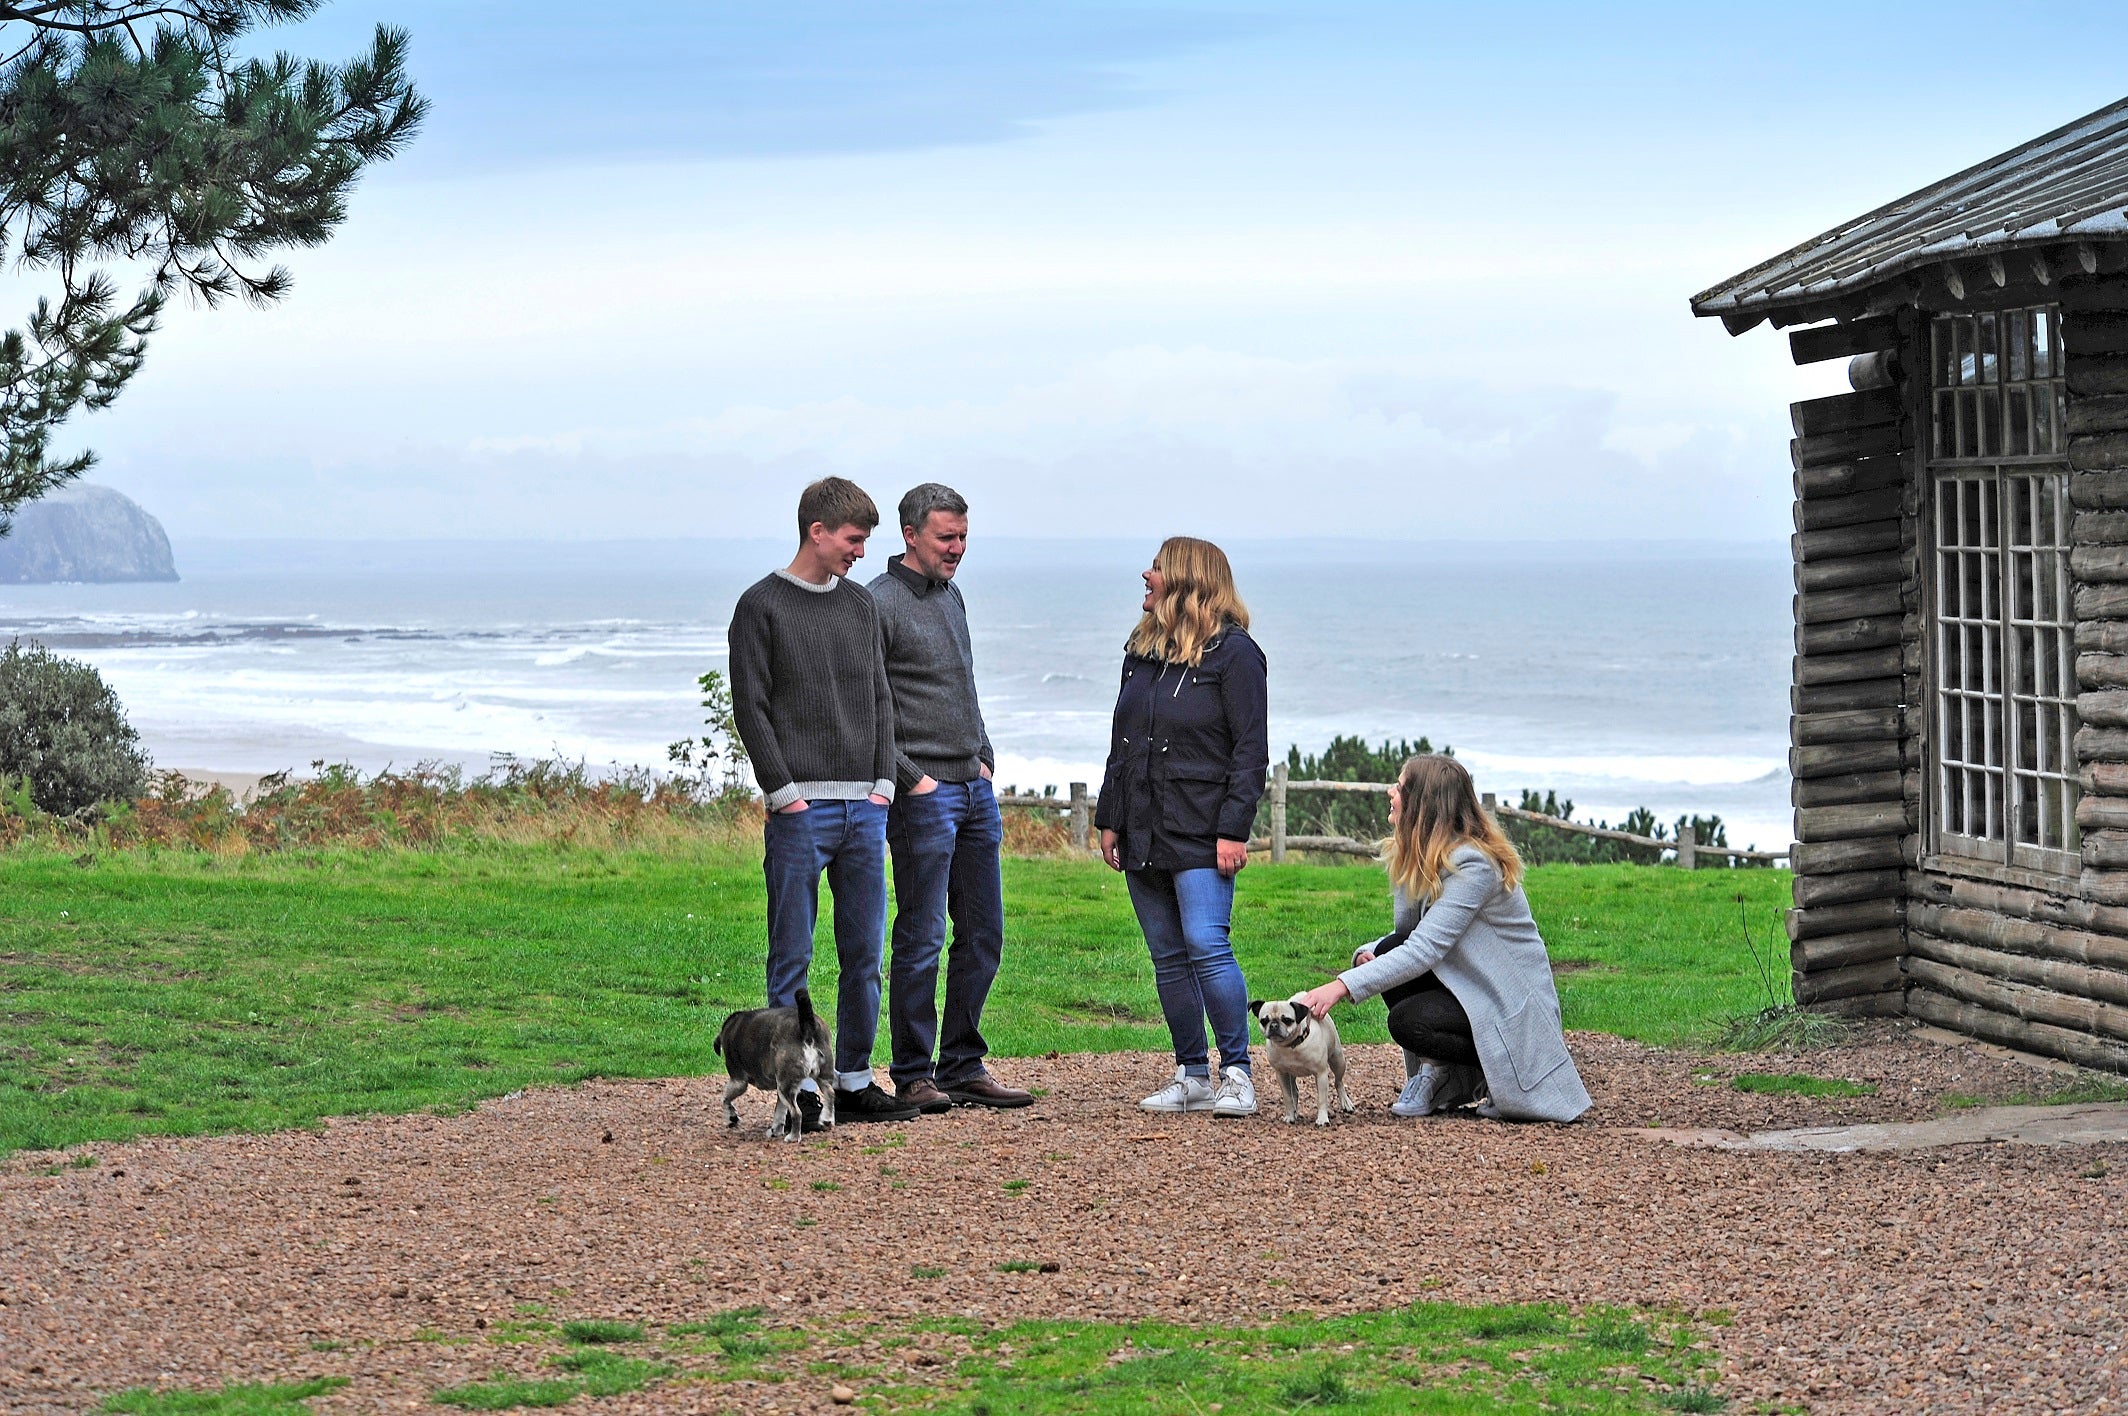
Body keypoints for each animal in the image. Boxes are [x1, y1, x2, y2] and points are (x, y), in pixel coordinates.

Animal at [723, 988, 838, 1141]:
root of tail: (807, 1027)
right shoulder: (780, 1090)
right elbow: (780, 1112)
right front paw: (775, 1130)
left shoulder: (738, 1081)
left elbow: (725, 1098)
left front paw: (732, 1117)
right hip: (821, 1074)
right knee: (830, 1093)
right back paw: (826, 1119)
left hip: (786, 1085)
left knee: (797, 1113)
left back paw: (793, 1137)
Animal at [1251, 992, 1353, 1124]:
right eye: (1264, 1021)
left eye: (1287, 1020)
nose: (1273, 1025)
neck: (1291, 1045)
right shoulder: (1281, 1075)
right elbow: (1288, 1097)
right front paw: (1290, 1115)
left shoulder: (1321, 1073)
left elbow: (1322, 1099)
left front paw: (1322, 1119)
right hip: (1291, 1075)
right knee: (1294, 1093)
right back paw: (1294, 1112)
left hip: (1338, 1060)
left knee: (1338, 1082)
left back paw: (1346, 1102)